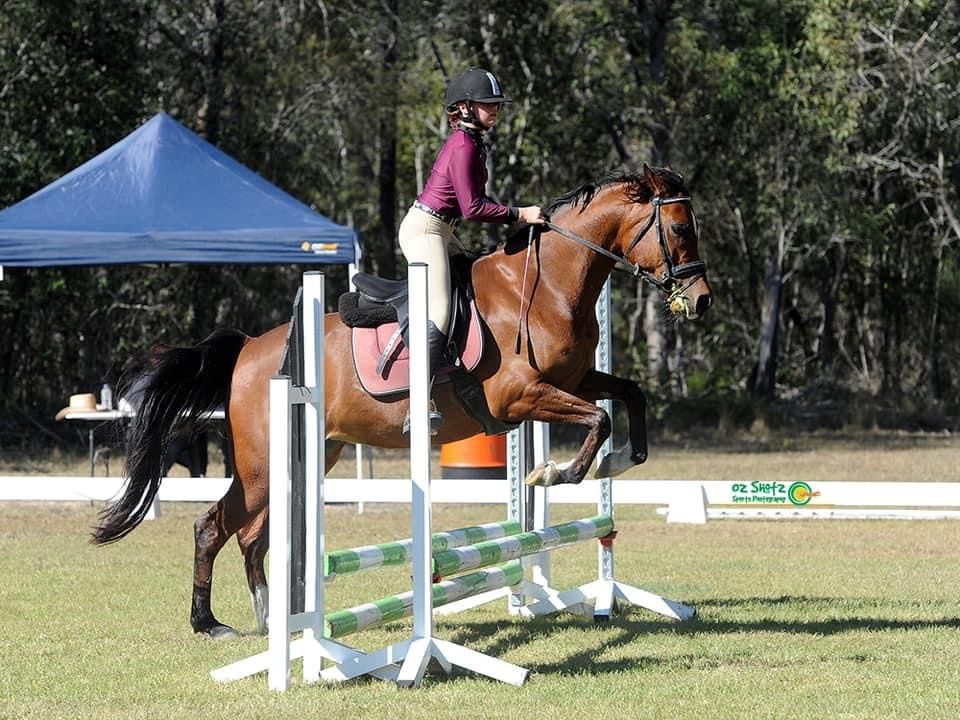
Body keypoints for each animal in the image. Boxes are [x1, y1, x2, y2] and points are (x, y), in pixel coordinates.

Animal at [92, 166, 712, 640]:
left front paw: (620, 461)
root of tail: (248, 348)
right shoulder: (521, 398)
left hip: (306, 459)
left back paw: (269, 620)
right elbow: (599, 418)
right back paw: (215, 624)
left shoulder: (574, 380)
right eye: (680, 227)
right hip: (261, 465)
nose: (702, 301)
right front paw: (553, 474)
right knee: (215, 527)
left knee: (247, 535)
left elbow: (627, 395)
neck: (550, 285)